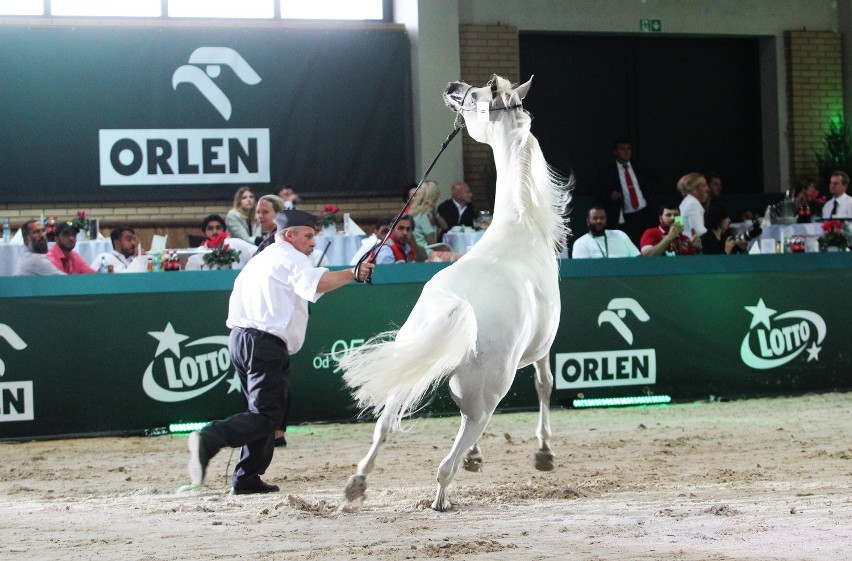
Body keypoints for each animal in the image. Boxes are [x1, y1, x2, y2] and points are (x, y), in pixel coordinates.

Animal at [342, 75, 572, 512]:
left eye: (477, 95)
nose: (453, 86)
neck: (521, 227)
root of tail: (458, 307)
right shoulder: (543, 348)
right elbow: (545, 385)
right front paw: (545, 453)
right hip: (486, 398)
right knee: (452, 454)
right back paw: (443, 496)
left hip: (407, 366)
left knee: (386, 425)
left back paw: (357, 484)